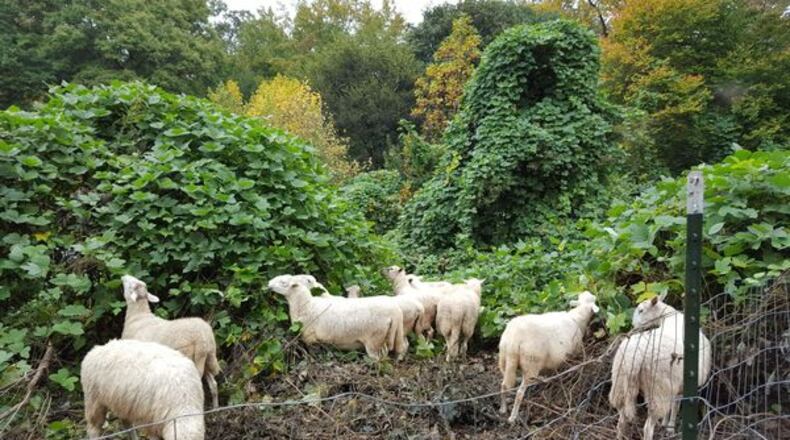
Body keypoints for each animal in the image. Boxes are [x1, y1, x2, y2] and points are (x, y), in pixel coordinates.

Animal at [121, 275, 220, 408]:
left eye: (131, 284)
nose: (124, 276)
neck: (139, 316)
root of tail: (203, 337)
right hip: (208, 358)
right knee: (213, 384)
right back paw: (216, 408)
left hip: (192, 357)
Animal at [268, 275, 406, 360]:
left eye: (283, 282)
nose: (269, 284)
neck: (307, 305)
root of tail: (396, 312)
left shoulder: (310, 338)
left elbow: (312, 354)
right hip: (396, 333)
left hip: (375, 340)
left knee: (379, 359)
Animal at [498, 291, 600, 423]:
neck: (578, 317)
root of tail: (514, 339)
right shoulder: (576, 350)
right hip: (531, 362)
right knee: (520, 393)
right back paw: (513, 417)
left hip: (505, 359)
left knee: (504, 385)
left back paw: (503, 408)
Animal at [609, 296, 712, 440]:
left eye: (641, 310)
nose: (633, 326)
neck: (669, 317)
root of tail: (634, 356)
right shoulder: (677, 386)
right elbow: (675, 406)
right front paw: (670, 428)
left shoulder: (674, 386)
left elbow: (672, 406)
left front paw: (665, 423)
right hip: (657, 388)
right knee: (647, 428)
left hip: (620, 382)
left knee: (621, 421)